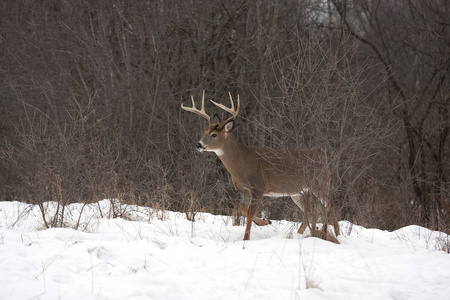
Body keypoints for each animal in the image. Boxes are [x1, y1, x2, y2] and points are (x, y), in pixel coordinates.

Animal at [181, 90, 340, 240]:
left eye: (214, 135)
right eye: (205, 131)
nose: (198, 145)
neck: (241, 163)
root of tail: (321, 153)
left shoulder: (259, 187)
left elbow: (250, 214)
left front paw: (246, 239)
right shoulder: (244, 190)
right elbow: (243, 210)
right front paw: (265, 221)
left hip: (321, 182)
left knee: (330, 206)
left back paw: (336, 235)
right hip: (297, 191)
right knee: (309, 211)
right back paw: (299, 234)